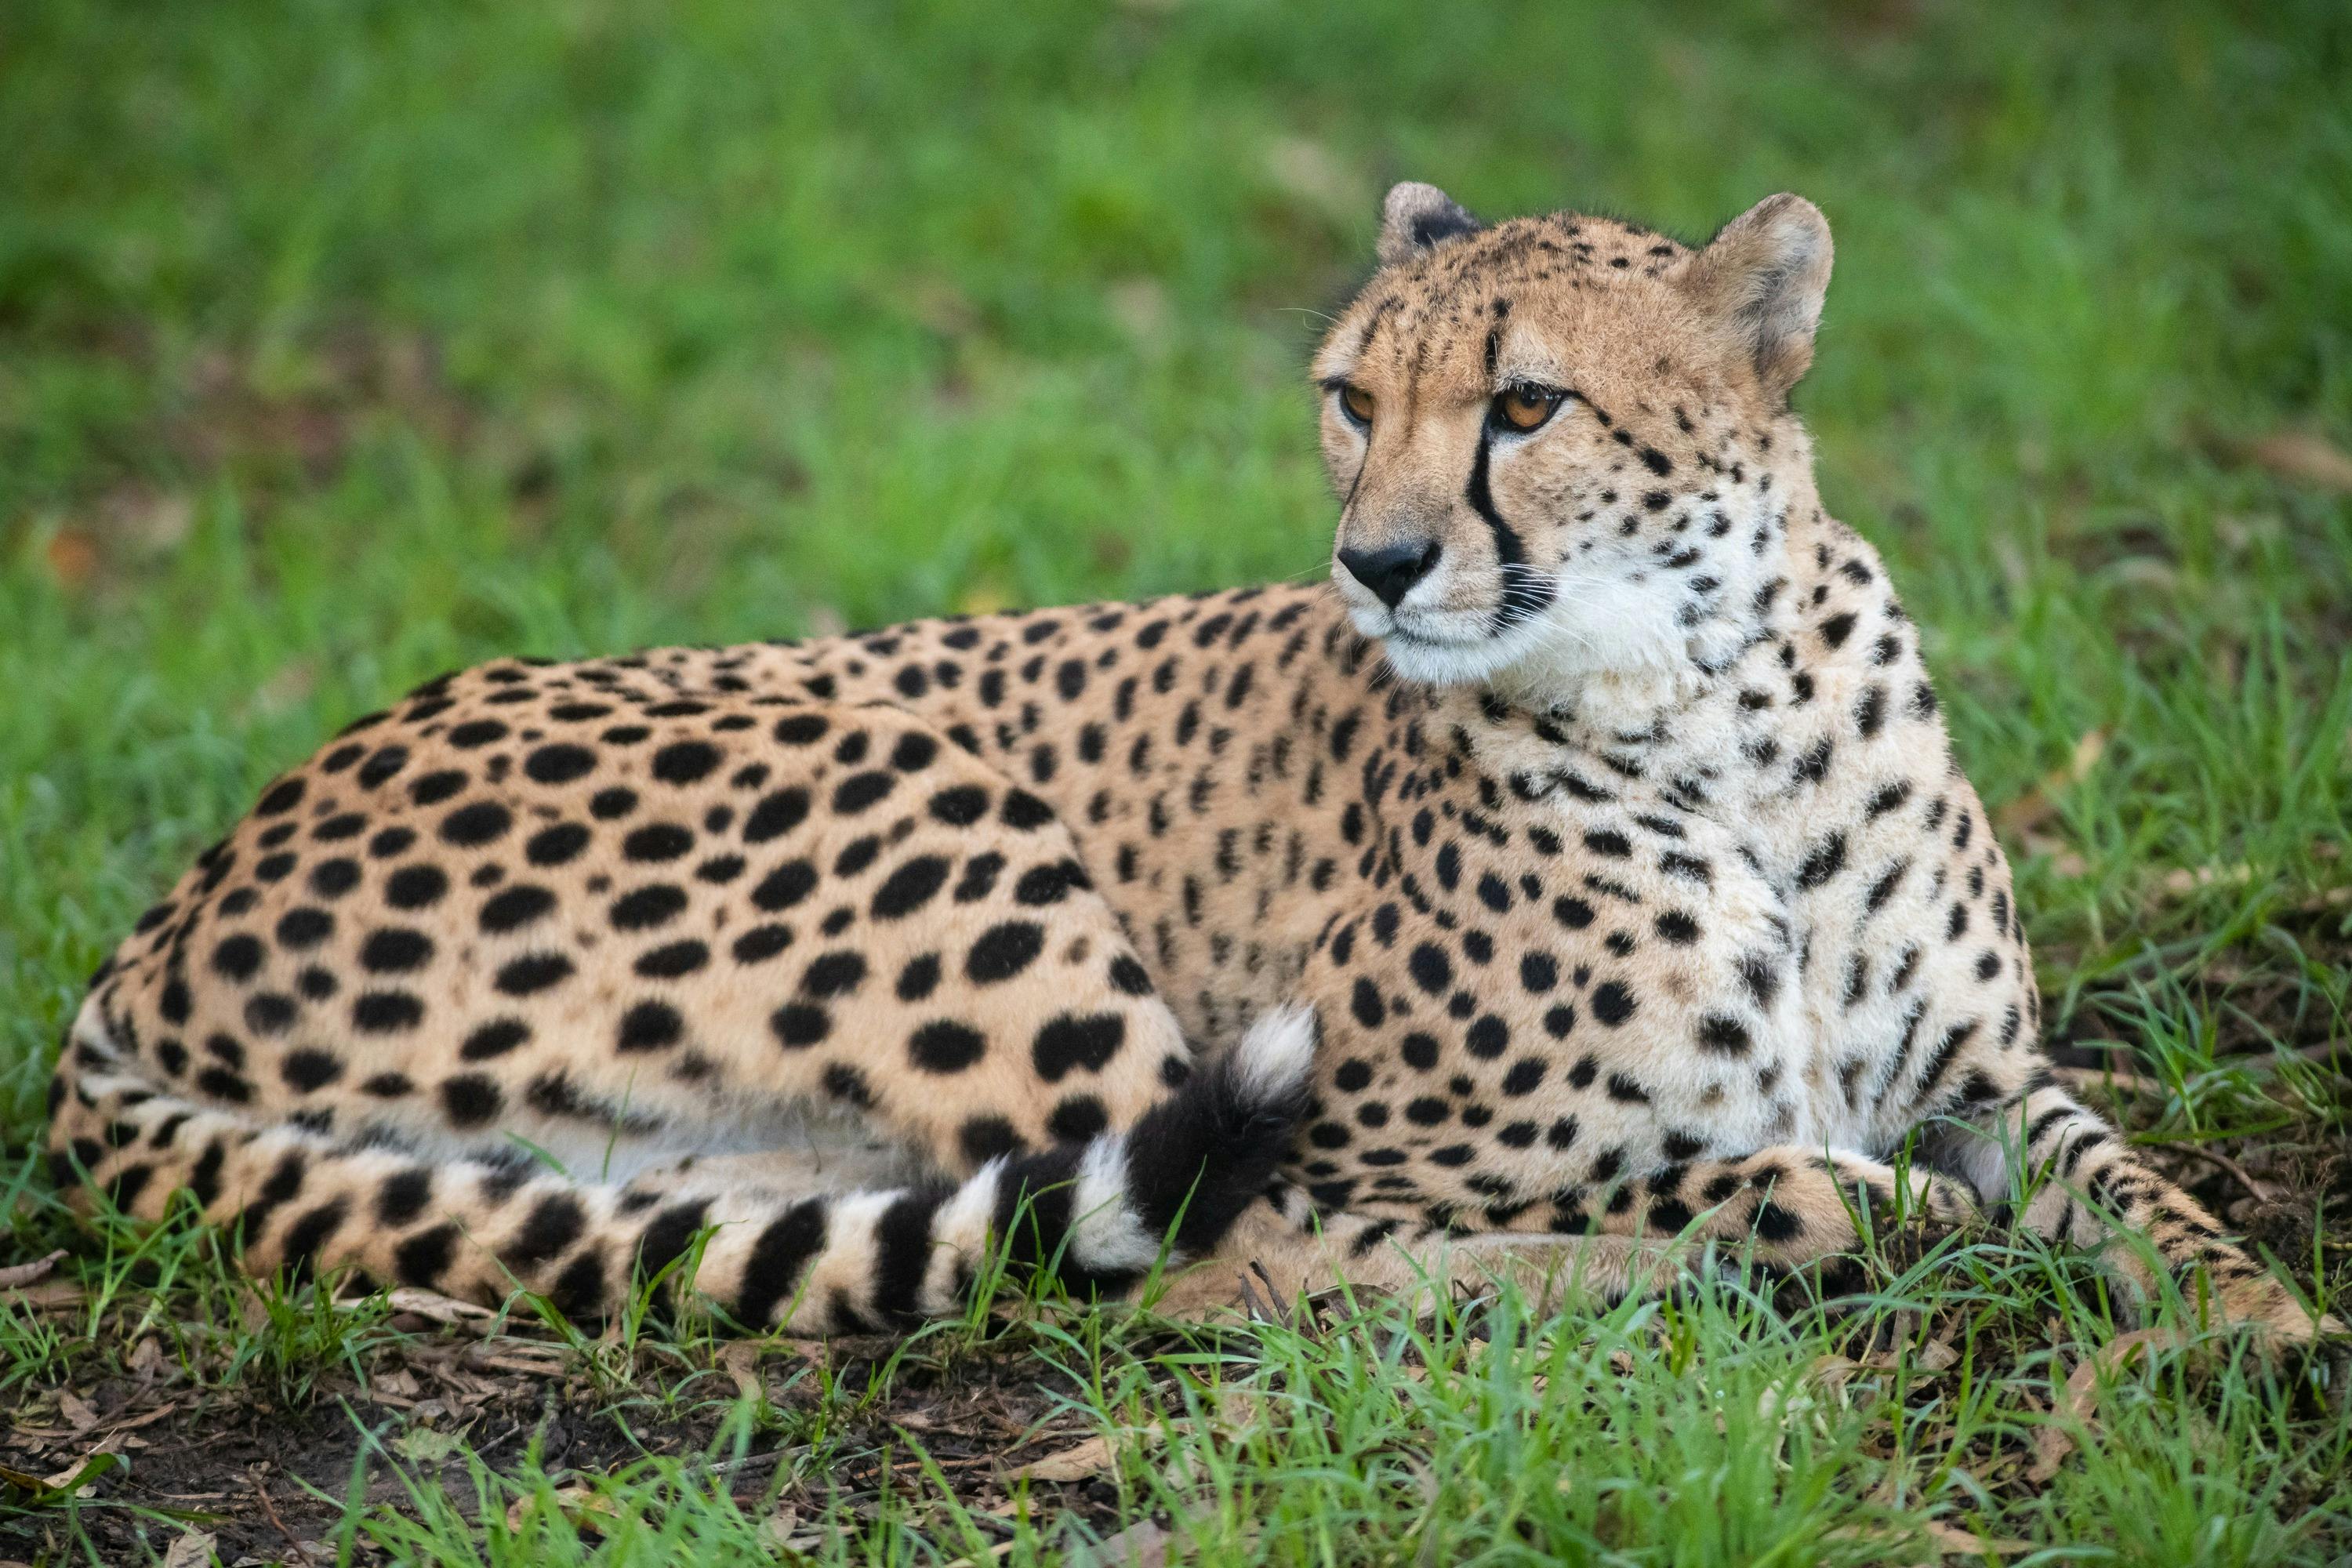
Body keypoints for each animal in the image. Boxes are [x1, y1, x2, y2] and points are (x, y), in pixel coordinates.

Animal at [44, 183, 2336, 1344]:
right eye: (1349, 396)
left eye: (1523, 404)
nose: (1379, 559)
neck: (1716, 701)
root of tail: (159, 924)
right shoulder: (1363, 1130)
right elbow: (1615, 1173)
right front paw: (1823, 1210)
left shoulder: (1986, 1071)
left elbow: (2136, 1179)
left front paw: (2257, 1323)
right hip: (926, 795)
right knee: (1195, 1272)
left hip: (708, 1147)